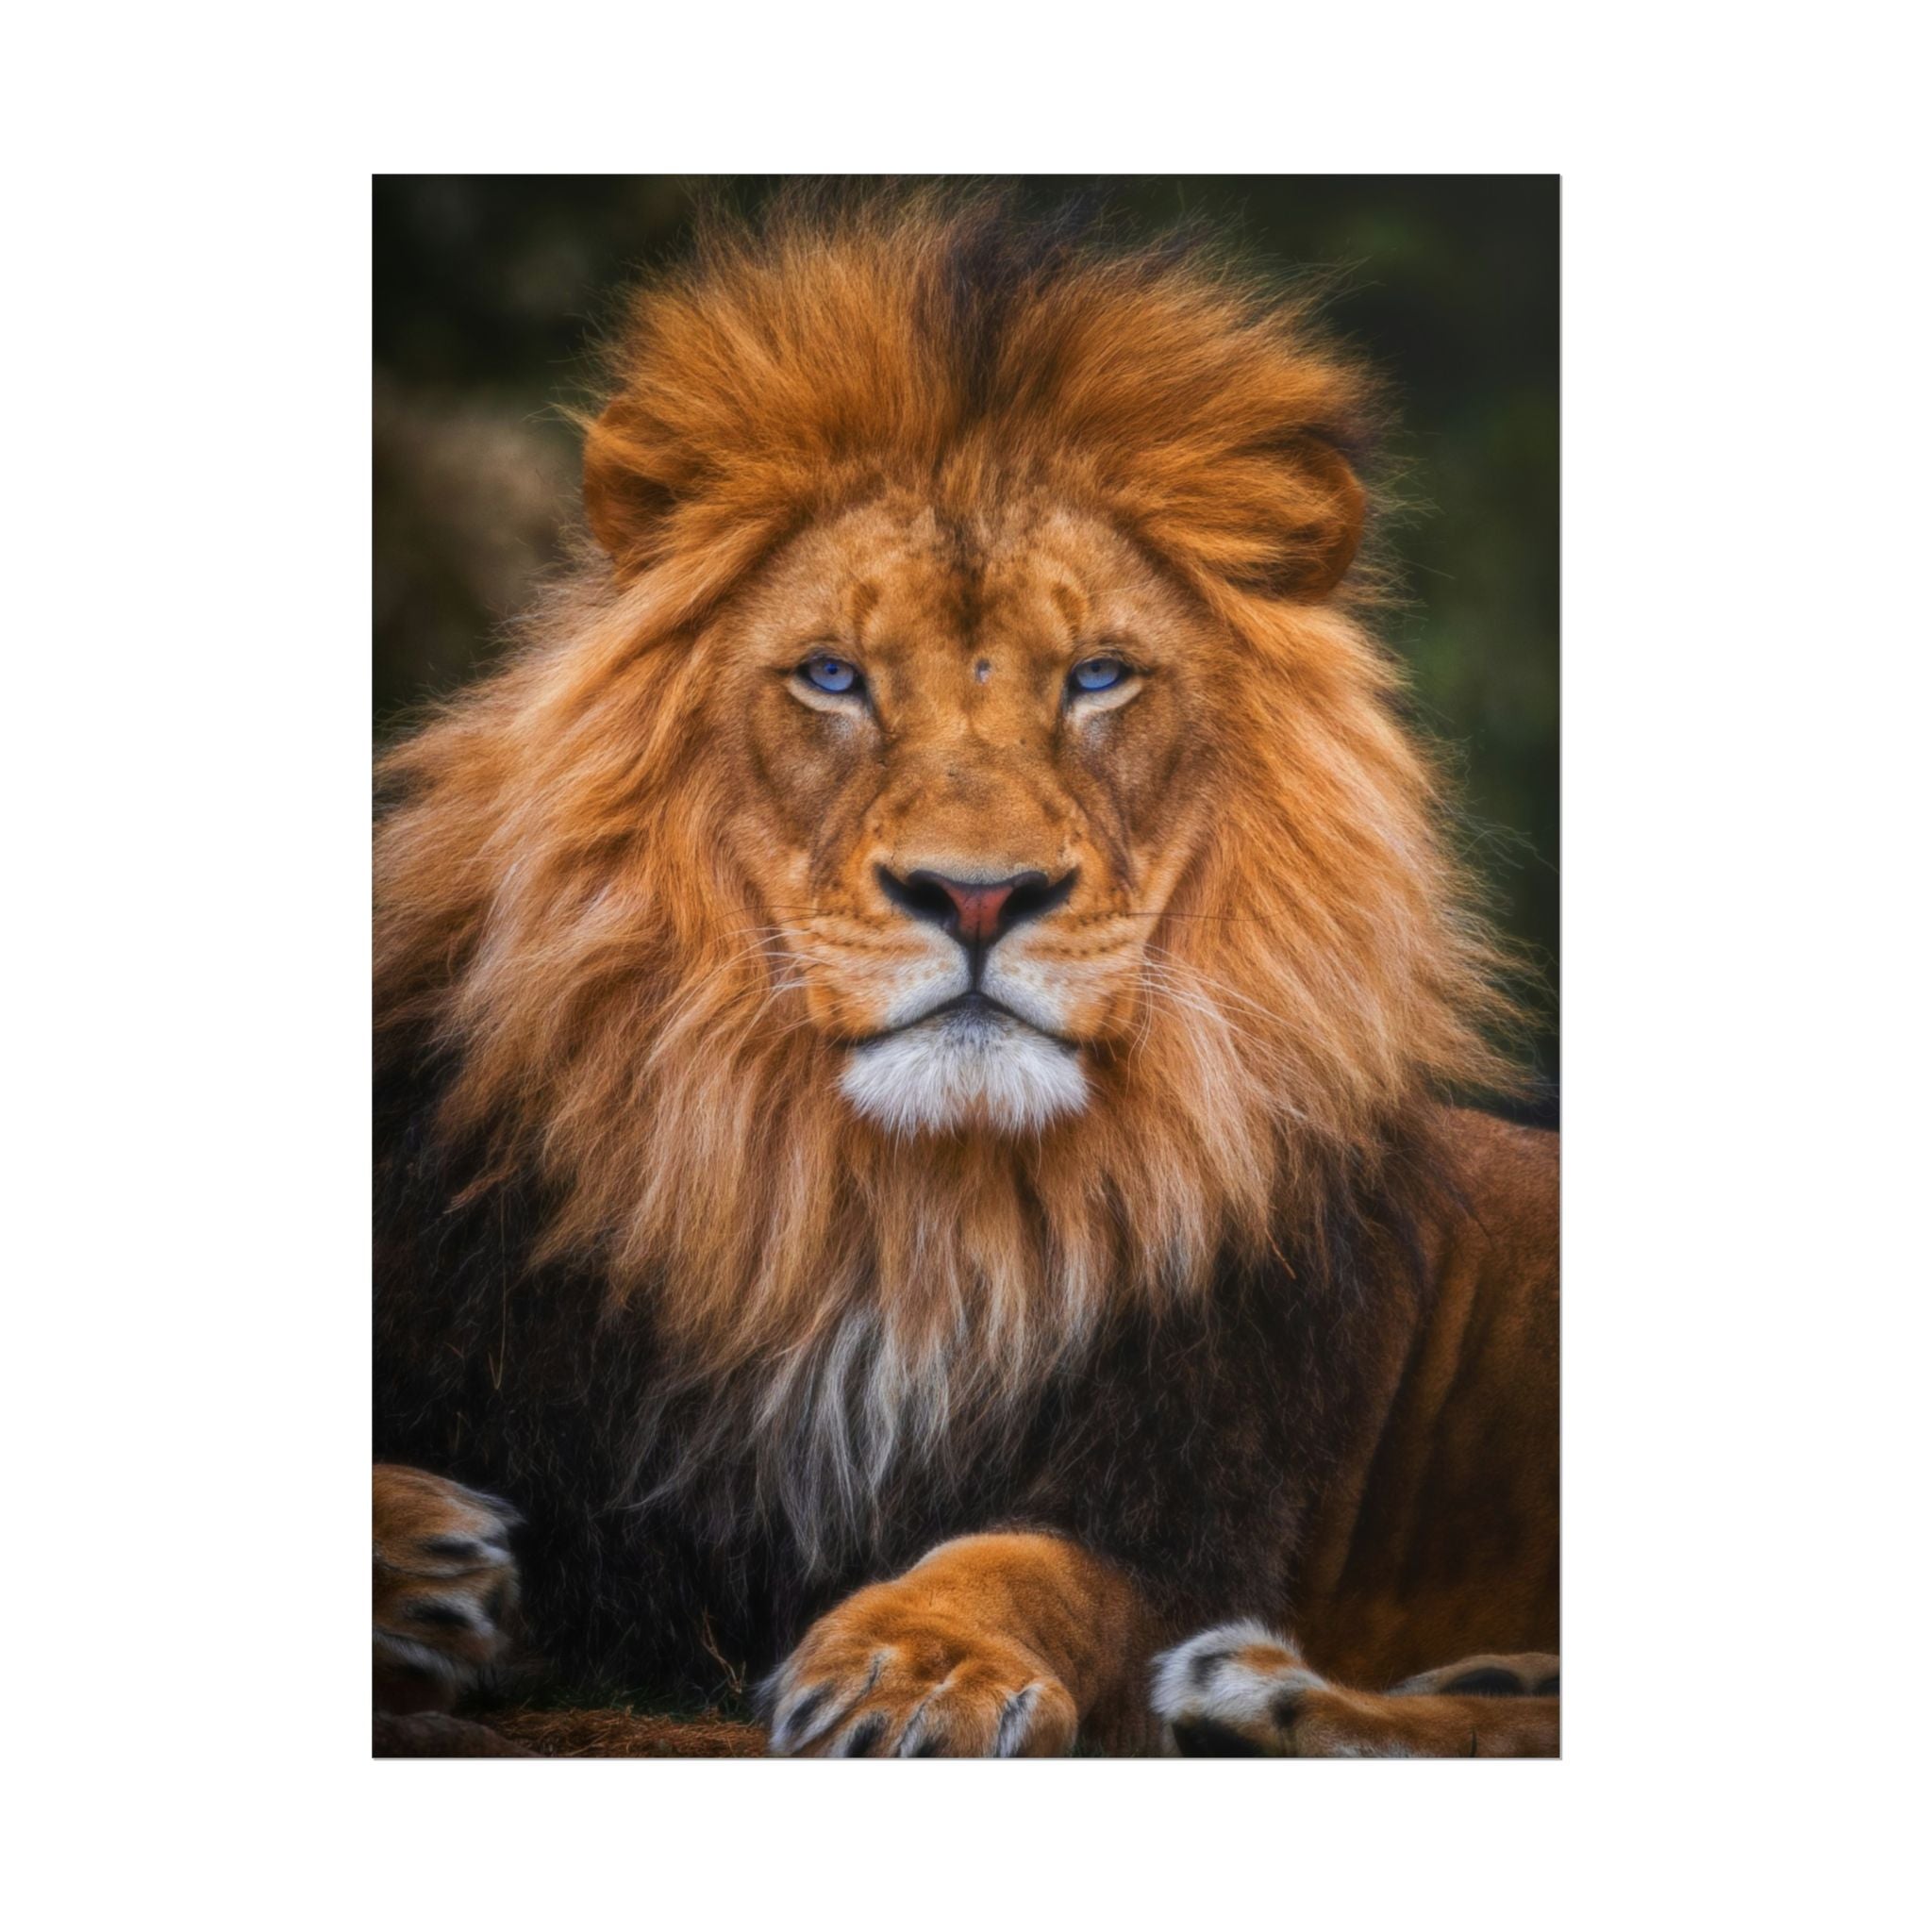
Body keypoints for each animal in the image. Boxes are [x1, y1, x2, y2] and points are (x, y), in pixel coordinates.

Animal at [373, 188, 1558, 1756]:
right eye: (832, 676)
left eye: (1099, 677)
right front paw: (417, 1563)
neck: (896, 1217)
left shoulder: (1189, 1500)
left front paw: (915, 1665)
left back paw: (1258, 1694)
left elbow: (1032, 1563)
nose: (979, 894)